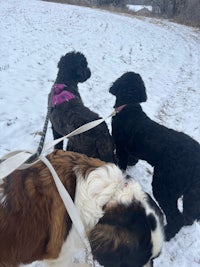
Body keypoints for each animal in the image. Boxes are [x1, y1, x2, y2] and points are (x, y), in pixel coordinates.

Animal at [108, 72, 200, 242]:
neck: (130, 107)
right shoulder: (130, 149)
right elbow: (132, 158)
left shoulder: (121, 147)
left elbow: (121, 163)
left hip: (164, 185)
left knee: (176, 217)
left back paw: (167, 234)